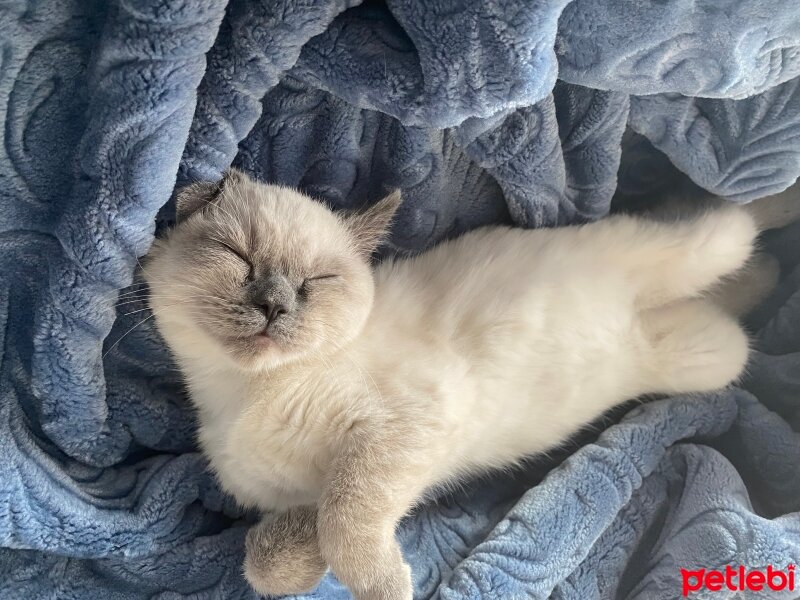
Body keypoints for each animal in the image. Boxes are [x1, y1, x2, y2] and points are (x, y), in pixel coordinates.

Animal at [145, 169, 780, 600]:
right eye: (237, 256)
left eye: (315, 282)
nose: (274, 306)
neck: (242, 394)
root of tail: (635, 308)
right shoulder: (319, 486)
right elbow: (274, 557)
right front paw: (306, 561)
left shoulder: (399, 428)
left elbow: (343, 519)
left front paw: (387, 587)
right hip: (702, 356)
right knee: (732, 320)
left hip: (687, 257)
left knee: (735, 224)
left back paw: (766, 210)